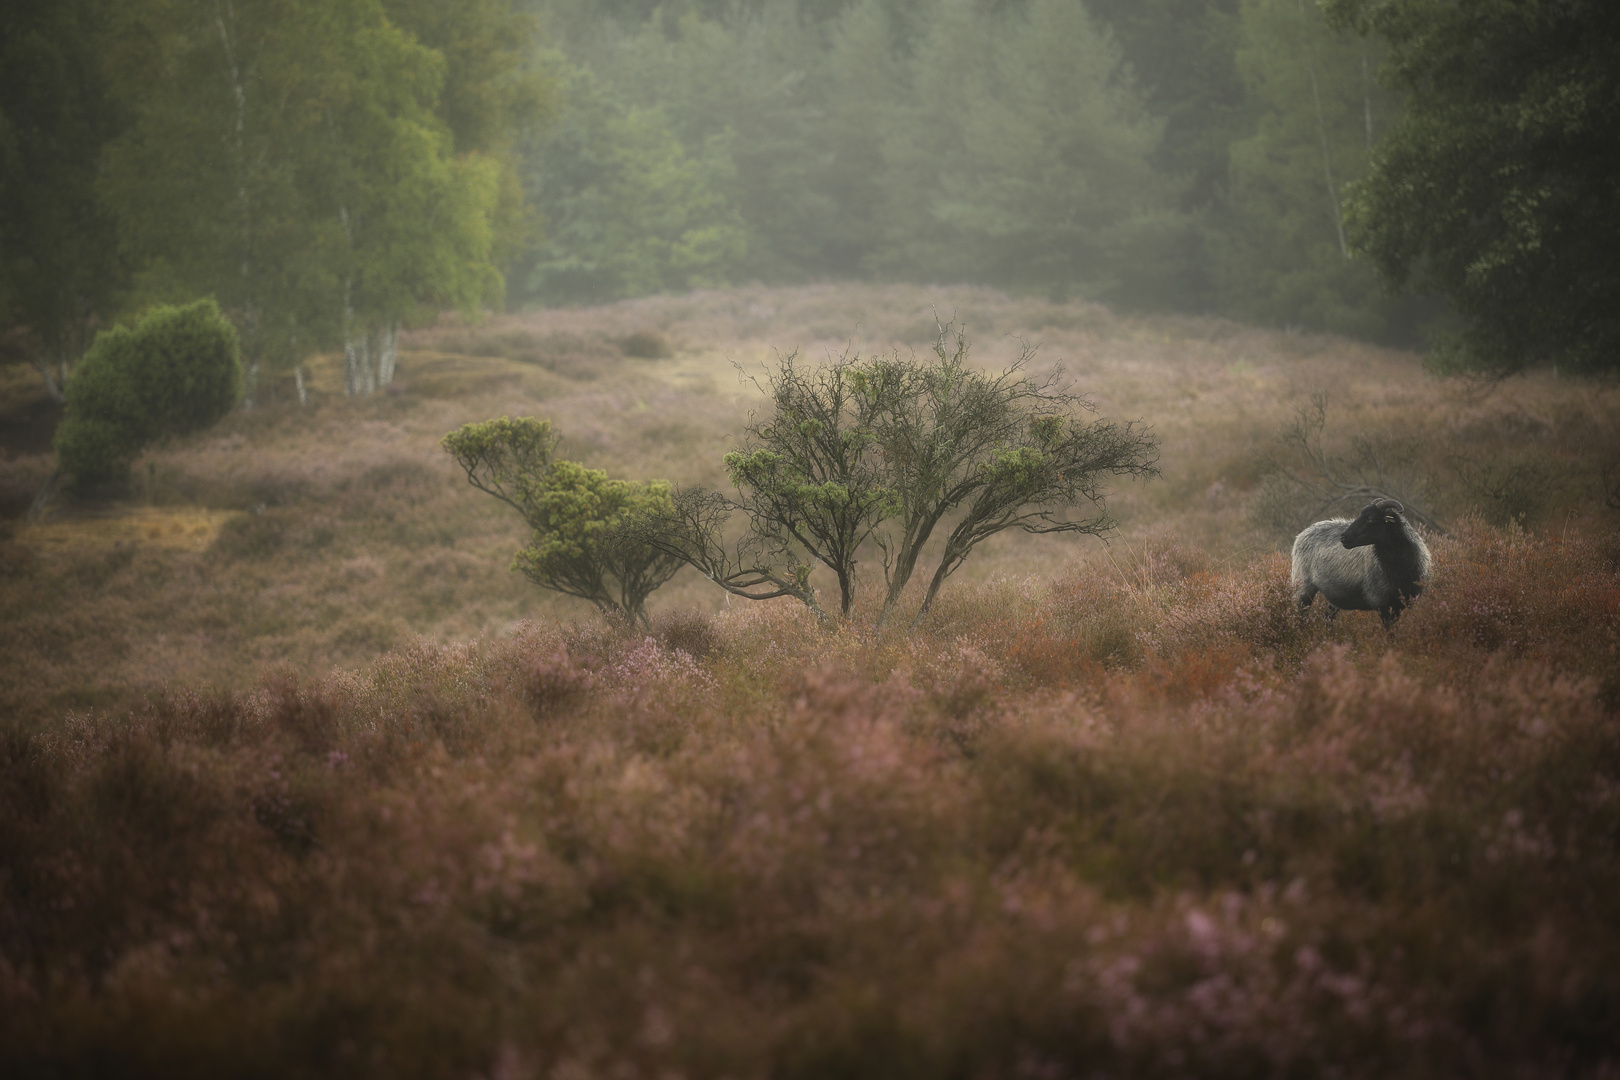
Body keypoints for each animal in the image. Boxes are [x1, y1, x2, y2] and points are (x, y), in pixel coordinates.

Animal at [1289, 501, 1432, 634]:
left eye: (1370, 518)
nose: (1343, 537)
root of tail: (1304, 532)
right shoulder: (1381, 602)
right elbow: (1389, 631)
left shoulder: (1401, 604)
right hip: (1303, 586)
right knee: (1300, 614)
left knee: (1327, 617)